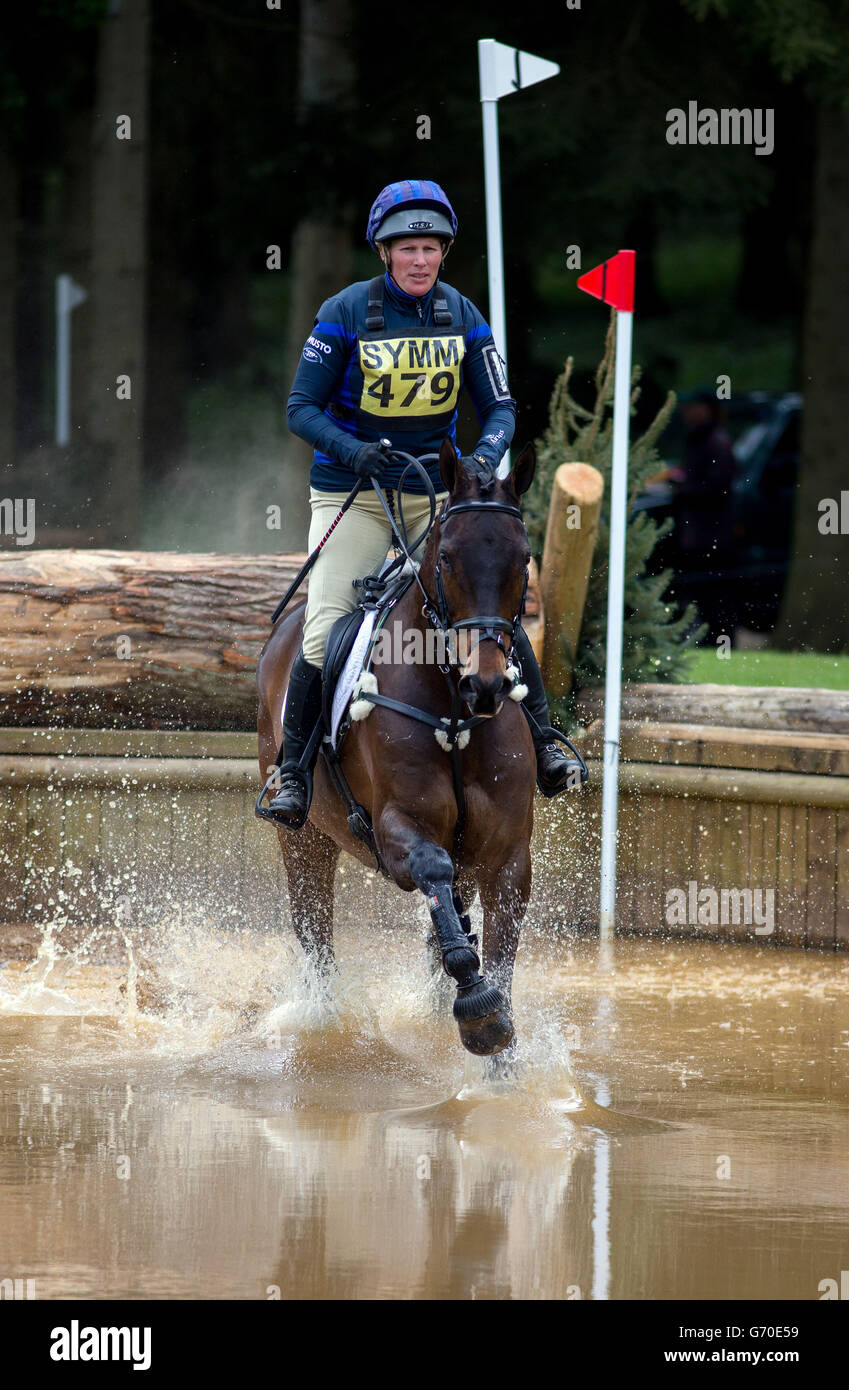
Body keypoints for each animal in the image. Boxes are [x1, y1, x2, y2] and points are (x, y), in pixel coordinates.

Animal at [257, 439, 539, 1056]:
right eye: (447, 559)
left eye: (524, 558)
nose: (485, 686)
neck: (453, 712)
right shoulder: (396, 830)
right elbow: (432, 872)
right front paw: (477, 1007)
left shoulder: (506, 852)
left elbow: (501, 952)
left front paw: (498, 1038)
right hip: (305, 839)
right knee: (315, 932)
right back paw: (324, 1018)